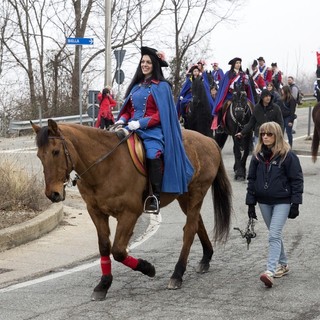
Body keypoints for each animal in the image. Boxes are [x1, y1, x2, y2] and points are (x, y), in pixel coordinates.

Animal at [31, 119, 232, 300]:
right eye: (39, 156)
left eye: (56, 152)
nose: (53, 194)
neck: (105, 165)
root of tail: (209, 140)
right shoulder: (95, 212)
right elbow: (104, 246)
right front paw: (103, 284)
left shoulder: (129, 213)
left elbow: (119, 250)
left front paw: (148, 268)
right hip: (184, 197)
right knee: (198, 223)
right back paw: (205, 259)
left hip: (197, 192)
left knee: (190, 229)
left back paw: (177, 274)